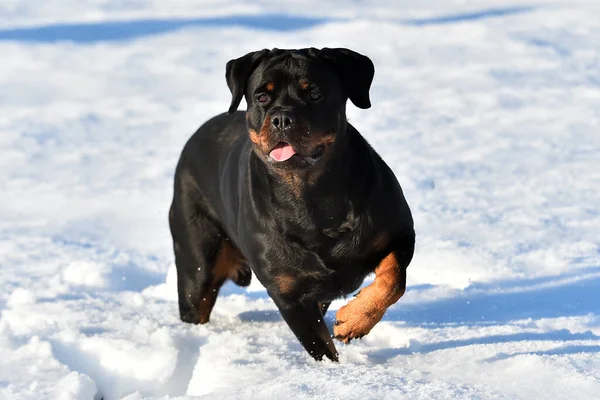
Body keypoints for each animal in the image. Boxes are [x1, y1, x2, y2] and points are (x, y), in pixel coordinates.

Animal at [169, 47, 412, 362]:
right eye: (262, 97)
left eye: (315, 94)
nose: (282, 118)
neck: (312, 197)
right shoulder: (287, 293)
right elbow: (321, 347)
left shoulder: (399, 233)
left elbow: (393, 279)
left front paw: (355, 320)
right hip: (197, 261)